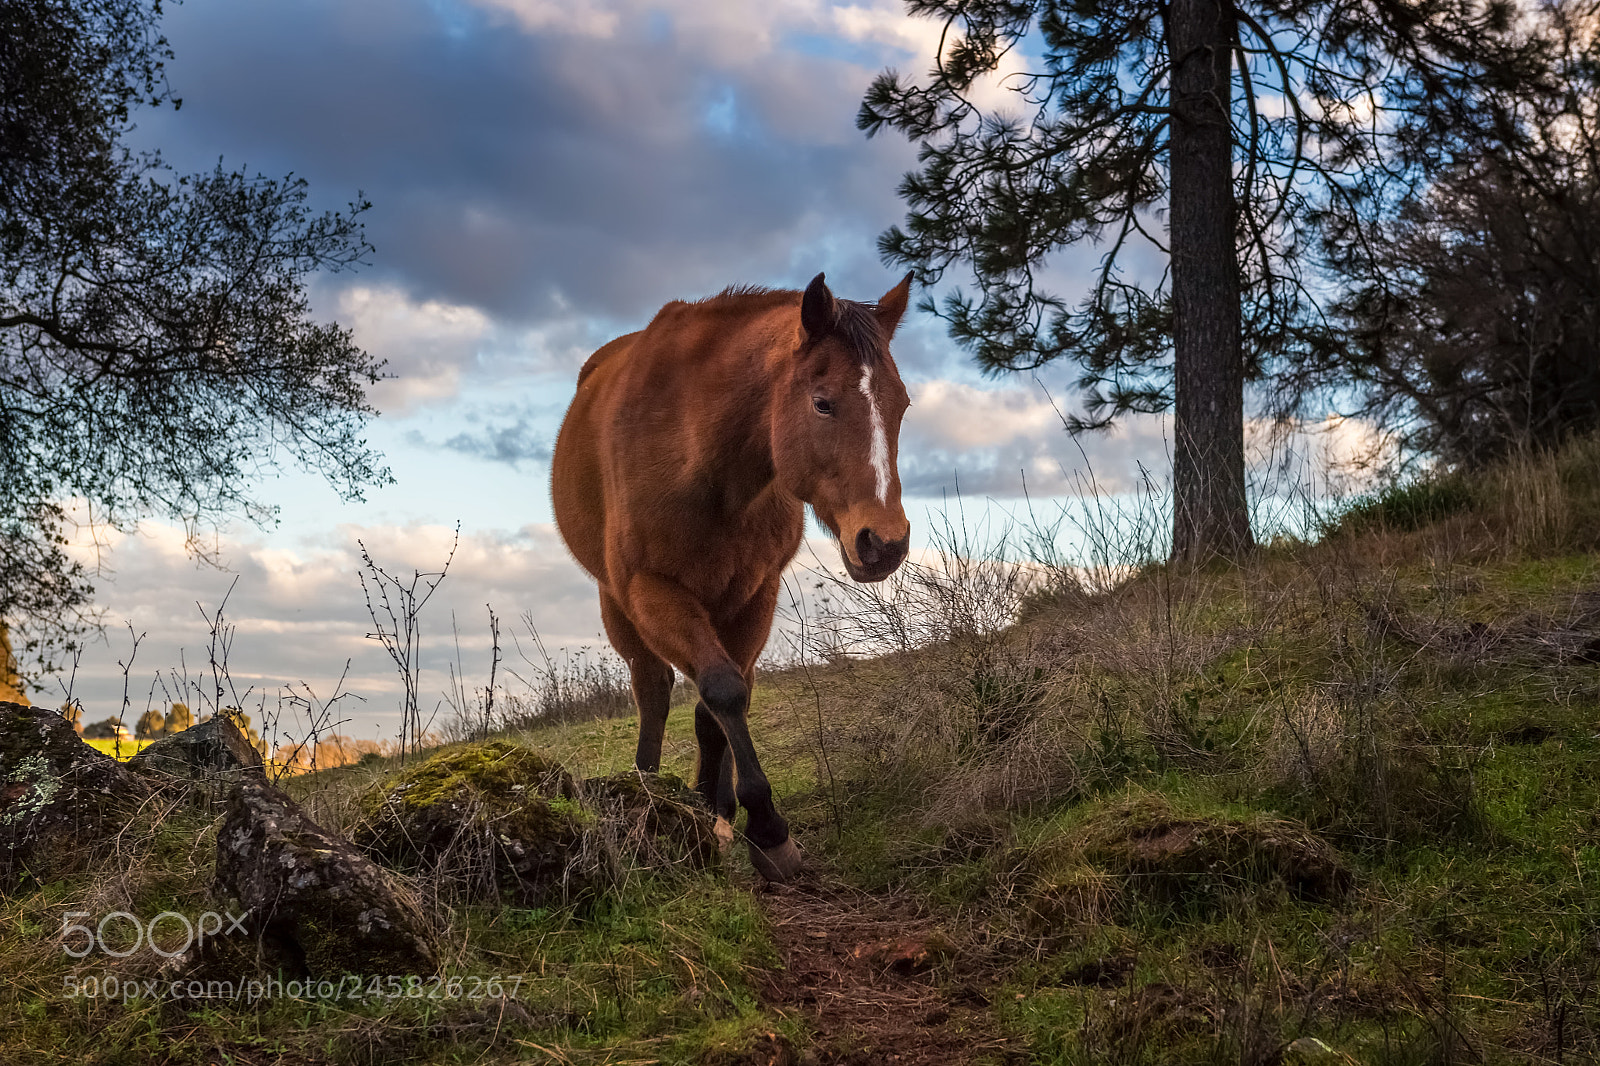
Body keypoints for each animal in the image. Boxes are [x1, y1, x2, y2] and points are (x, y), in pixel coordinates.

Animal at [550, 272, 914, 881]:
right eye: (822, 403)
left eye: (902, 404)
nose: (883, 543)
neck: (700, 460)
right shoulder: (651, 589)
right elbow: (717, 689)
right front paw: (768, 829)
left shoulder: (754, 594)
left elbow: (721, 699)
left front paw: (728, 813)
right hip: (619, 605)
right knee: (653, 689)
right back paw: (647, 786)